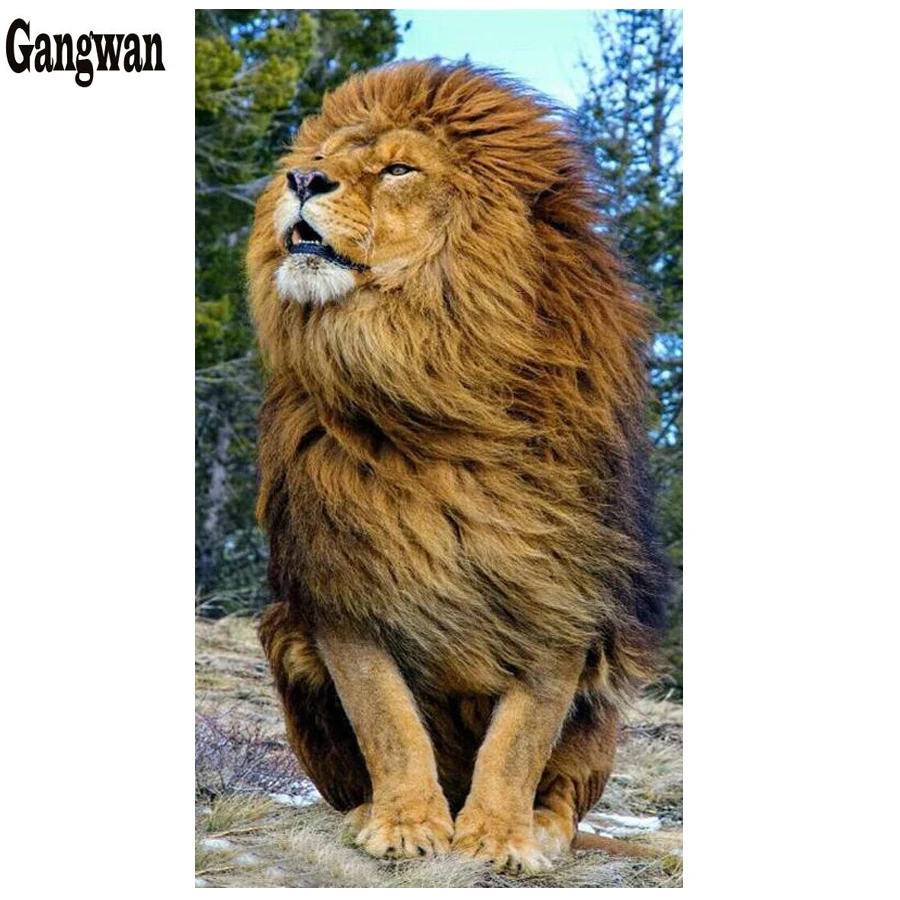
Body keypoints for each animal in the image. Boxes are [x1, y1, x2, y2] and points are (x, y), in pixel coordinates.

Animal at [247, 60, 668, 874]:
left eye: (398, 169)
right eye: (324, 156)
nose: (301, 177)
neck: (430, 383)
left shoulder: (561, 588)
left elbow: (522, 737)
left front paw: (499, 837)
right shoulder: (339, 578)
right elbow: (386, 718)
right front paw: (407, 825)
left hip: (610, 679)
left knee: (565, 792)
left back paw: (542, 828)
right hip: (284, 634)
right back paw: (366, 812)